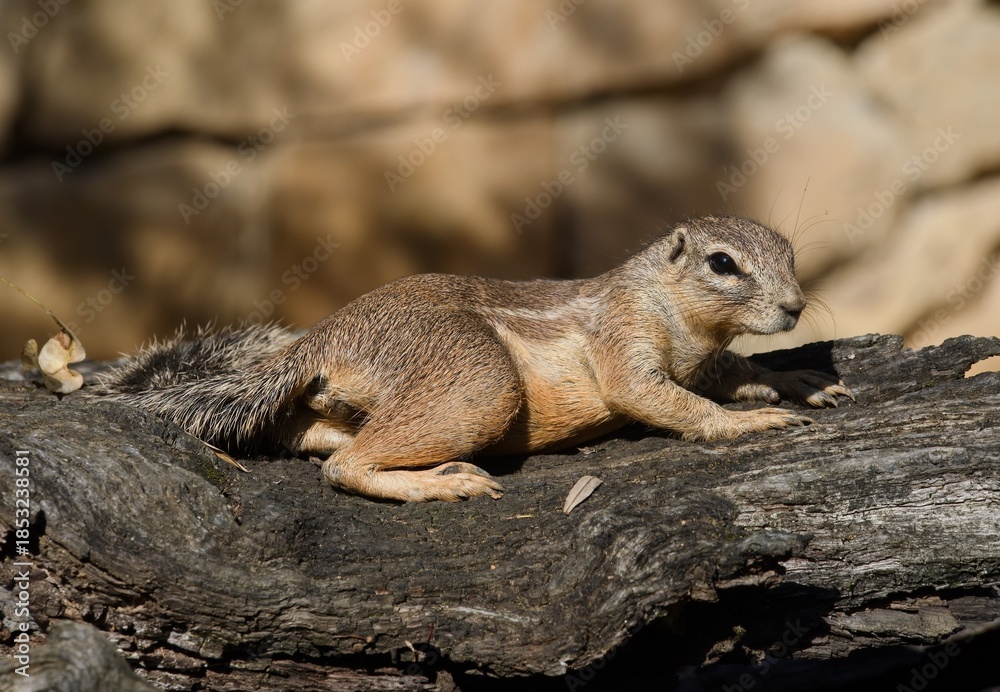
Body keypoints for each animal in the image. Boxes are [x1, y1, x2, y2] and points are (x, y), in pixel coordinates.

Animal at [99, 215, 853, 502]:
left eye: (789, 251)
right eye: (723, 264)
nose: (794, 307)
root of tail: (324, 337)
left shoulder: (706, 356)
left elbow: (736, 371)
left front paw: (797, 379)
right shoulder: (621, 335)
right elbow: (653, 395)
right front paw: (747, 423)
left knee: (309, 434)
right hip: (479, 381)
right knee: (345, 468)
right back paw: (439, 483)